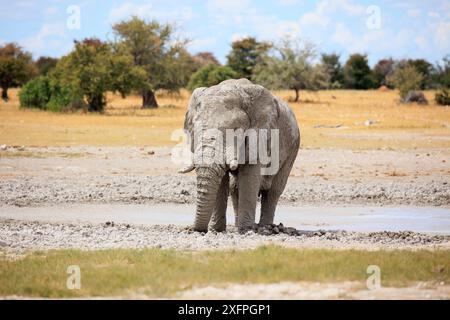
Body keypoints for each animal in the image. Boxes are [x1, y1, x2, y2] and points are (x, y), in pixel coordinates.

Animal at [178, 77, 298, 232]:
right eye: (196, 129)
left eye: (235, 130)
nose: (193, 229)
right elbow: (222, 181)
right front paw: (216, 230)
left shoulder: (260, 134)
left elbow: (249, 177)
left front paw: (246, 230)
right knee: (235, 188)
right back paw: (238, 225)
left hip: (292, 149)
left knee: (273, 191)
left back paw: (265, 227)